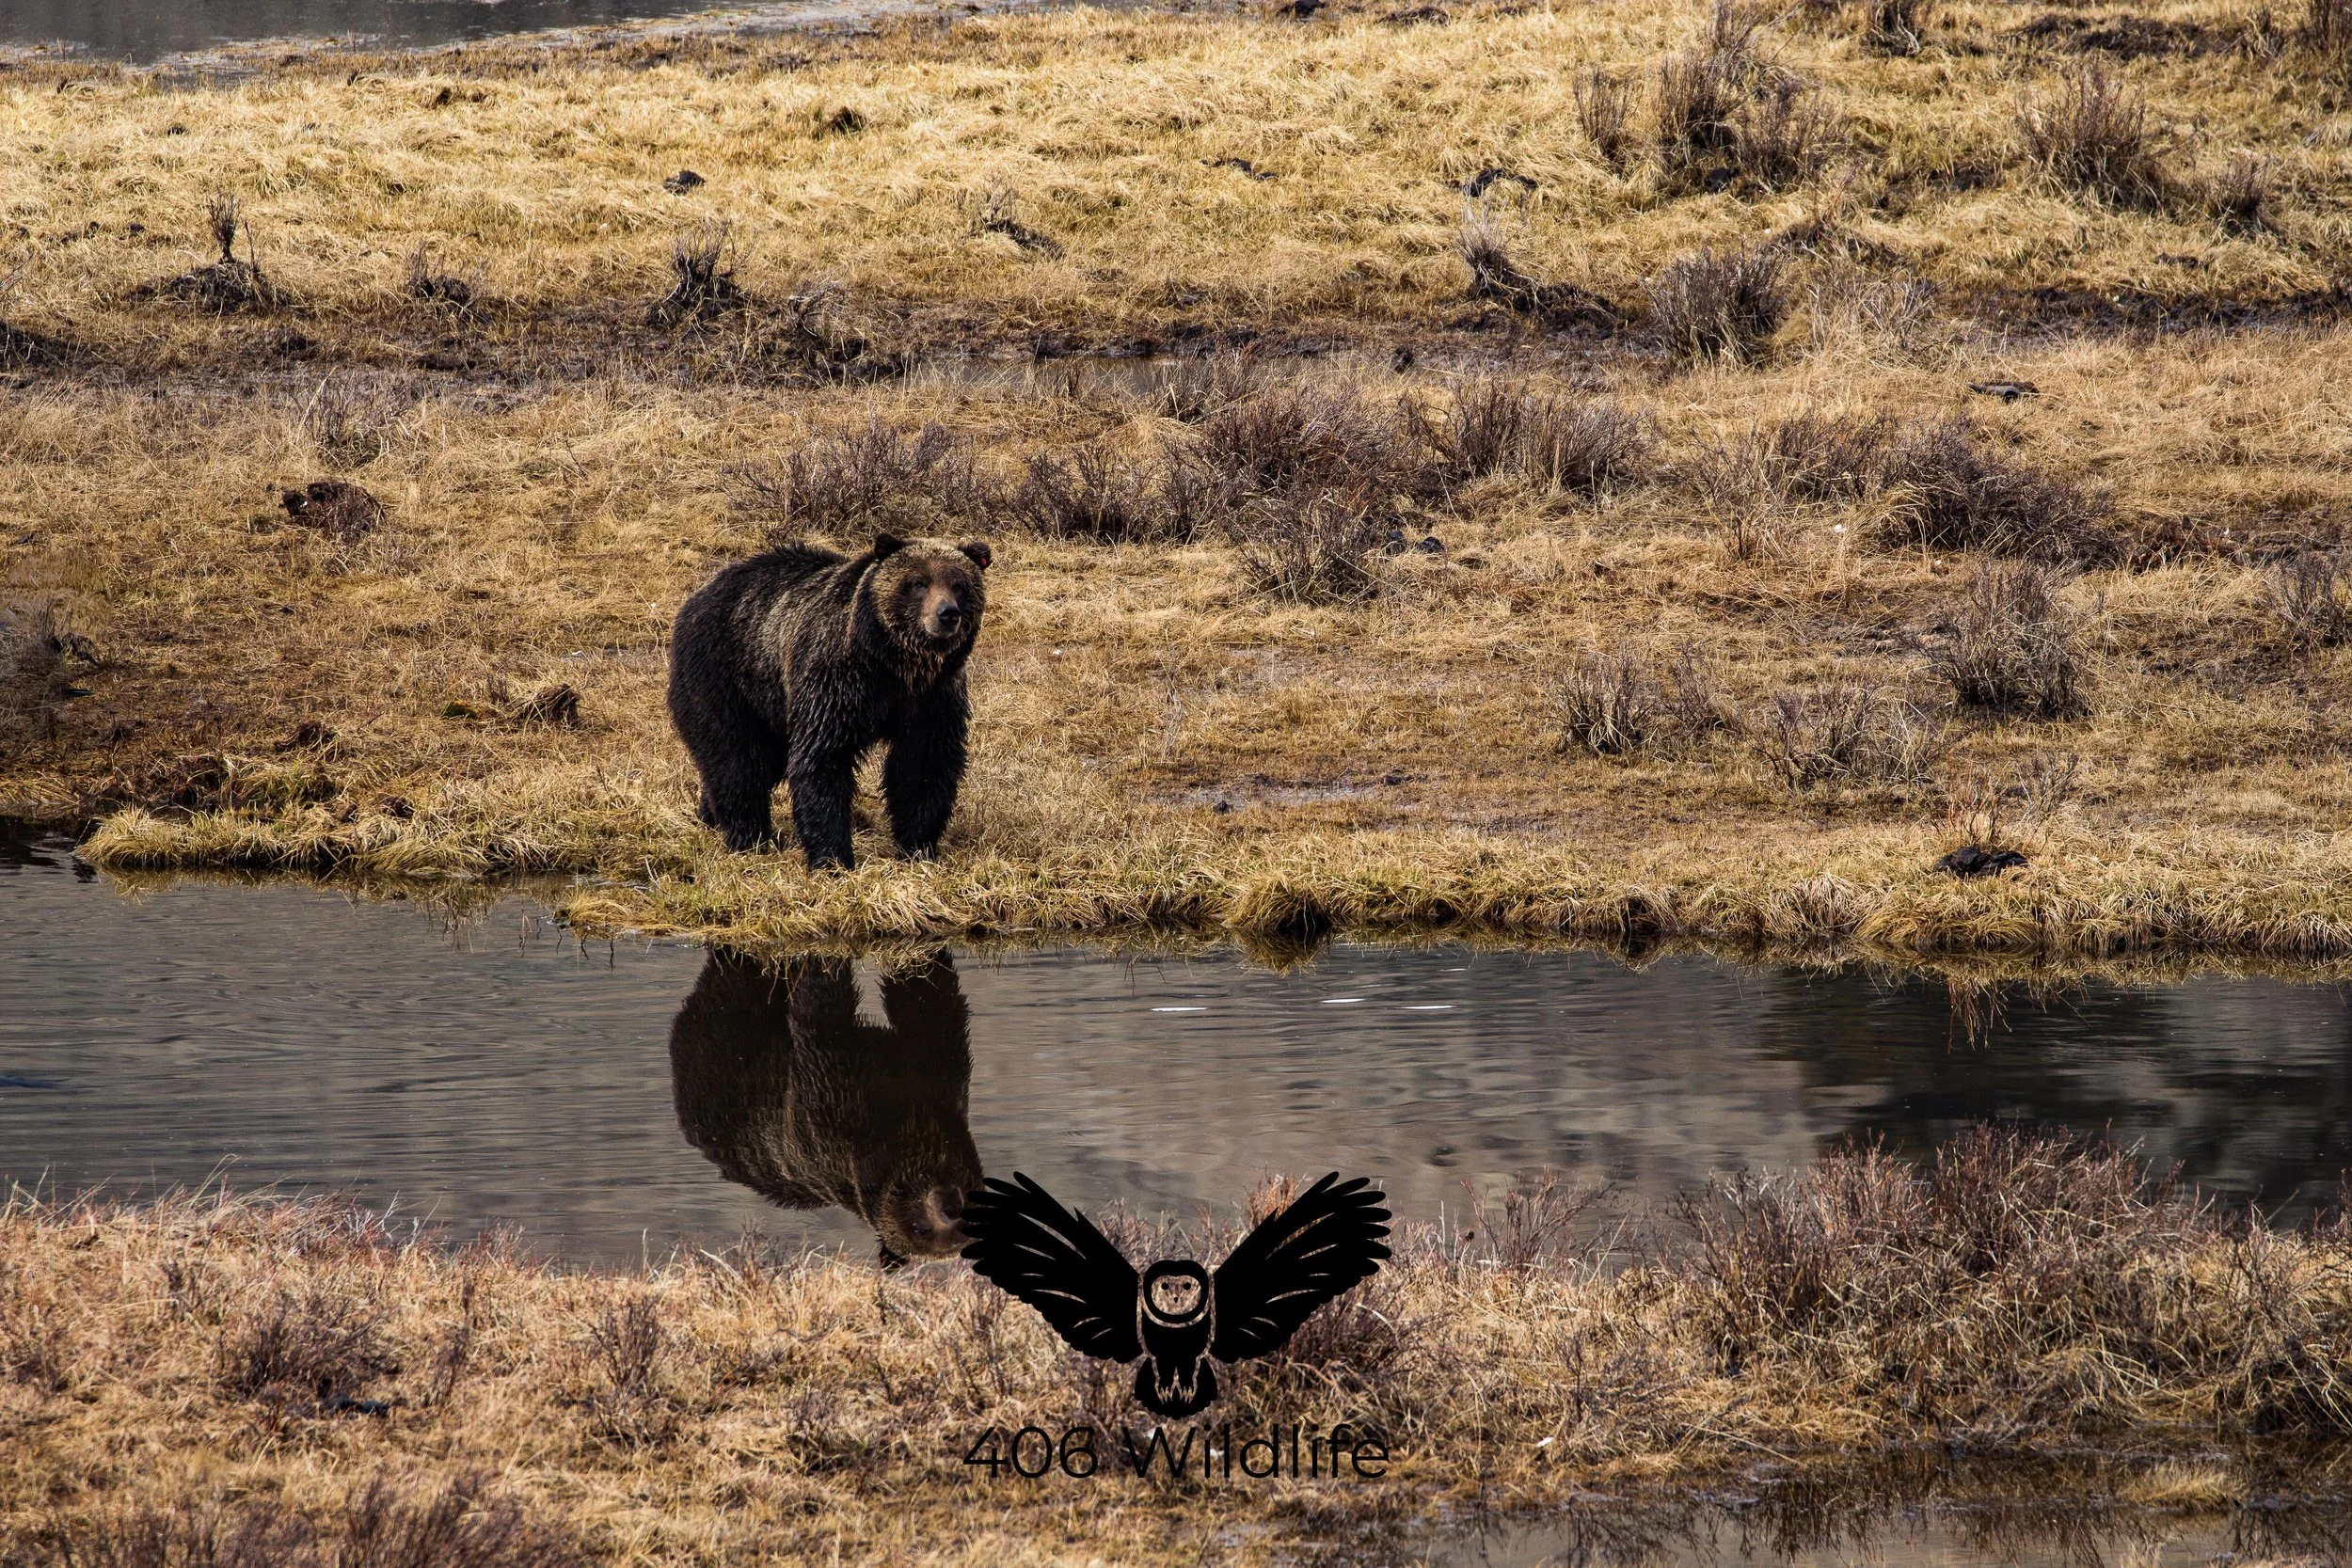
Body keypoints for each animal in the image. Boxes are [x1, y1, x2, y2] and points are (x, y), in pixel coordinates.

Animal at [667, 532, 990, 869]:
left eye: (959, 584)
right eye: (918, 582)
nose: (947, 614)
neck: (893, 665)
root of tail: (697, 596)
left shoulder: (932, 697)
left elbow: (924, 765)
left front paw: (918, 846)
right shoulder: (837, 681)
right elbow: (823, 759)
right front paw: (833, 857)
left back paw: (710, 814)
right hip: (727, 676)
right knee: (736, 757)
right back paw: (748, 835)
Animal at [668, 949, 981, 1266]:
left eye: (963, 1230)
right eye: (919, 1229)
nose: (948, 1207)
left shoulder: (937, 1075)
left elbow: (926, 1002)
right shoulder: (828, 1107)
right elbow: (822, 1016)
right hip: (725, 1060)